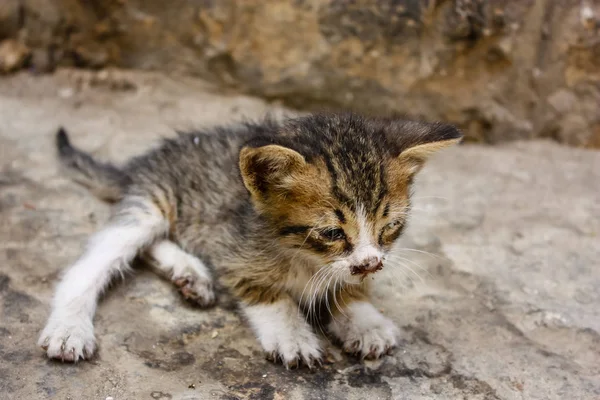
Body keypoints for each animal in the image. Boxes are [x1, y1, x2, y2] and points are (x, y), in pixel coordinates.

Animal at [37, 112, 462, 368]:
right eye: (331, 233)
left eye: (390, 227)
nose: (371, 263)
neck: (306, 258)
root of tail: (142, 164)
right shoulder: (231, 248)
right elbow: (269, 294)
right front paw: (292, 334)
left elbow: (344, 287)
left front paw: (364, 319)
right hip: (153, 204)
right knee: (94, 262)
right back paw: (69, 329)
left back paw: (190, 274)